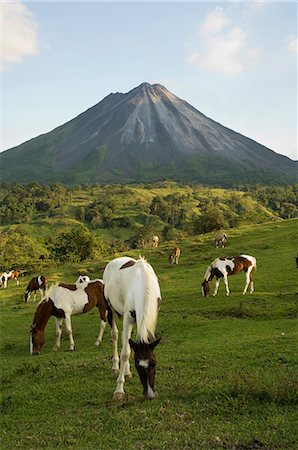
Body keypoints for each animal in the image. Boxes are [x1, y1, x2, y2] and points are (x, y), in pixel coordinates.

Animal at [103, 256, 162, 400]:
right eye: (138, 366)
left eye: (154, 363)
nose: (150, 394)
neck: (143, 282)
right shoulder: (128, 317)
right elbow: (125, 353)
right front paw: (119, 389)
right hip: (110, 309)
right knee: (115, 335)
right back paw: (116, 367)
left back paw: (127, 372)